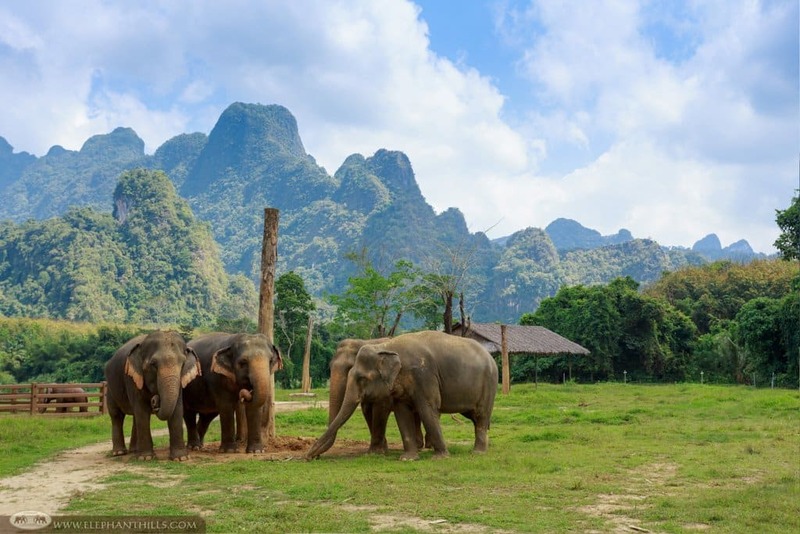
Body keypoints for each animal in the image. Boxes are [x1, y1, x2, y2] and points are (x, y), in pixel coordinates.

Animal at [104, 330, 200, 460]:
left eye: (183, 363)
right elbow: (142, 410)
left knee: (135, 417)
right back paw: (119, 452)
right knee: (116, 415)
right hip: (110, 388)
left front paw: (181, 458)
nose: (155, 400)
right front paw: (146, 458)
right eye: (153, 364)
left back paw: (134, 450)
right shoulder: (132, 379)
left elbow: (177, 409)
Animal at [308, 330, 500, 460]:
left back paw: (477, 452)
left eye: (361, 378)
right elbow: (400, 412)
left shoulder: (423, 375)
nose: (310, 456)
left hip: (489, 383)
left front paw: (440, 457)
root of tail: (490, 357)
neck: (385, 347)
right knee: (473, 415)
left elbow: (424, 407)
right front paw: (405, 458)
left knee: (480, 415)